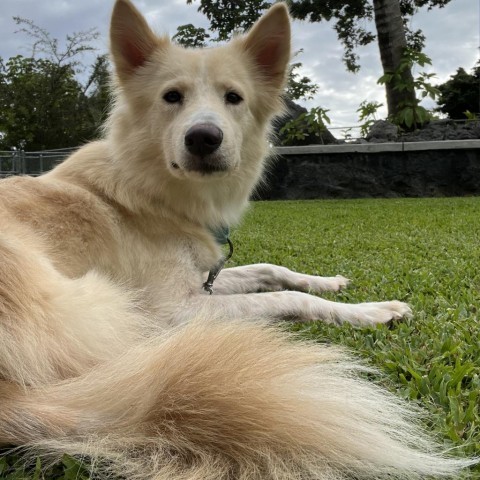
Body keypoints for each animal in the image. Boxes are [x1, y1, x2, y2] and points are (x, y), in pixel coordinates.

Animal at [0, 1, 474, 478]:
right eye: (172, 97)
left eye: (234, 98)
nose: (204, 138)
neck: (151, 190)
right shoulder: (174, 309)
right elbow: (289, 298)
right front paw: (371, 311)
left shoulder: (205, 278)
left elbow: (270, 269)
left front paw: (329, 282)